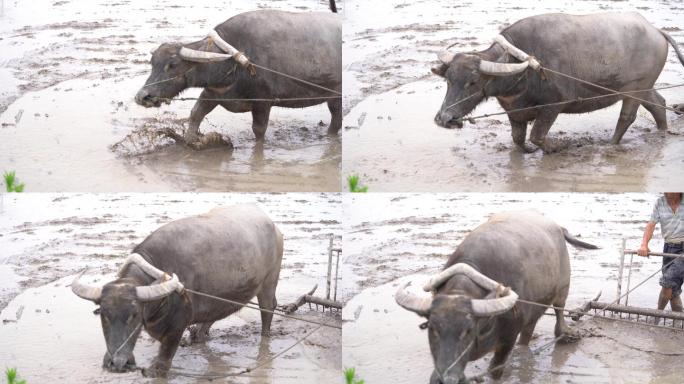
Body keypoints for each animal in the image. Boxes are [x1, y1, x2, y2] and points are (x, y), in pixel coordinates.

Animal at [71, 206, 282, 376]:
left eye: (134, 315)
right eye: (103, 315)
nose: (116, 363)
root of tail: (274, 227)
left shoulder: (175, 330)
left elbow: (162, 366)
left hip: (269, 284)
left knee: (267, 311)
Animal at [136, 10, 342, 146]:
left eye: (172, 65)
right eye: (152, 63)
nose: (142, 96)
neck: (232, 63)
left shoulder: (262, 102)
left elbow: (259, 130)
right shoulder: (212, 93)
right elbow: (195, 114)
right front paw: (190, 140)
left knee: (336, 119)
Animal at [396, 212, 600, 382]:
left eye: (468, 330)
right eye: (432, 329)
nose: (447, 379)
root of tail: (558, 227)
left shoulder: (507, 340)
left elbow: (495, 369)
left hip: (563, 287)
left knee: (559, 309)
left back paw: (565, 334)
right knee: (528, 333)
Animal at [432, 12, 684, 153]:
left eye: (473, 82)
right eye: (448, 80)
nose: (444, 119)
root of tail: (656, 31)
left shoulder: (552, 107)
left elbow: (537, 136)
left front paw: (558, 148)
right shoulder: (515, 112)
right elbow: (518, 139)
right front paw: (527, 151)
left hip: (636, 88)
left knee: (627, 117)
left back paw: (610, 145)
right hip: (643, 87)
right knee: (658, 104)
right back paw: (662, 132)